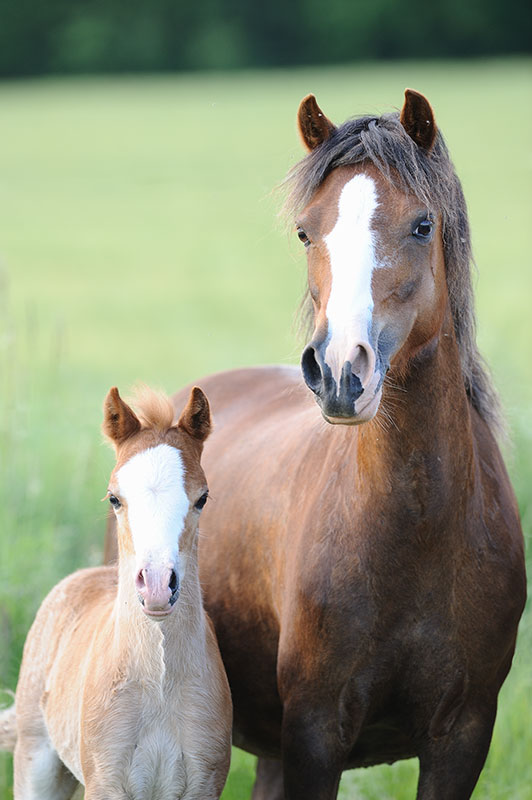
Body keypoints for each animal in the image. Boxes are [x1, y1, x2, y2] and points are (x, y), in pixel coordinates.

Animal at [1, 384, 232, 796]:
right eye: (114, 498)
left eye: (202, 498)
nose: (157, 586)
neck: (157, 685)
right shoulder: (106, 784)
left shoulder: (203, 785)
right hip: (37, 763)